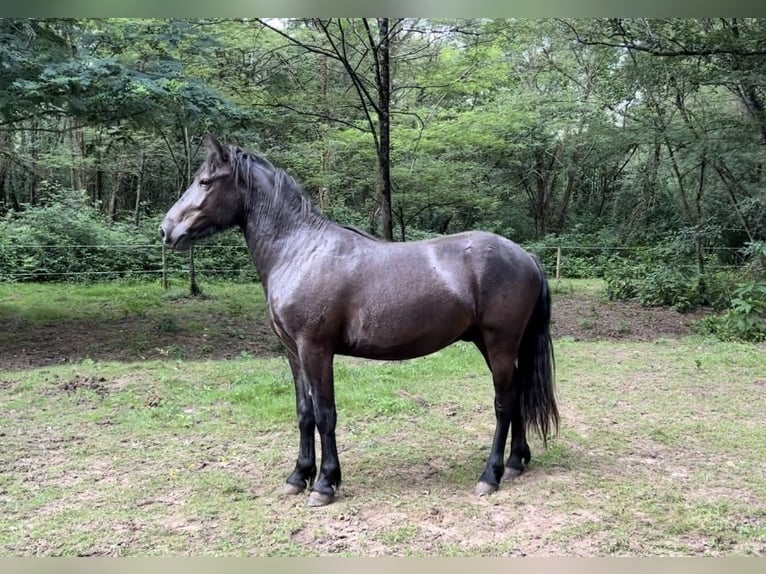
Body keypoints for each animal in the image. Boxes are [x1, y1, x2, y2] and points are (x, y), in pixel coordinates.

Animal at [159, 135, 560, 508]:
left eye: (205, 182)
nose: (167, 230)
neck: (299, 251)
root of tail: (526, 256)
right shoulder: (293, 352)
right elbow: (304, 413)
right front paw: (298, 476)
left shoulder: (316, 349)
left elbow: (325, 414)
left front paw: (324, 484)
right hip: (490, 343)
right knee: (517, 393)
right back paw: (515, 462)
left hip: (499, 342)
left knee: (504, 402)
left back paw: (490, 475)